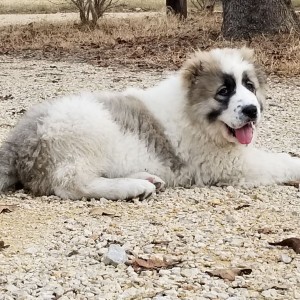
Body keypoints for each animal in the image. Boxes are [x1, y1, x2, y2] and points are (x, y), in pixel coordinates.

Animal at [0, 48, 300, 200]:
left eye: (250, 86)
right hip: (86, 129)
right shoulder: (227, 163)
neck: (192, 113)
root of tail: (16, 144)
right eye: (223, 91)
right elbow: (279, 161)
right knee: (71, 184)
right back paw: (133, 188)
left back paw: (146, 178)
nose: (251, 110)